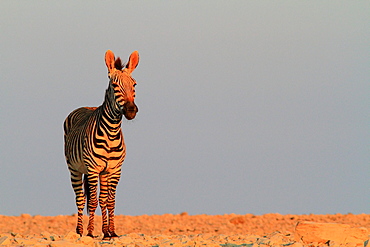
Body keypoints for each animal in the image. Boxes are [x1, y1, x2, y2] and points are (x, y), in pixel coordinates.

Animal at [63, 50, 139, 239]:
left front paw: (111, 232)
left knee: (102, 198)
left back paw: (104, 230)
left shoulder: (115, 170)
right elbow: (93, 200)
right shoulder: (92, 168)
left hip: (103, 173)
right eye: (114, 85)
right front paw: (90, 233)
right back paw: (80, 231)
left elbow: (109, 200)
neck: (111, 131)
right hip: (74, 169)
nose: (131, 111)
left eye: (134, 84)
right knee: (81, 198)